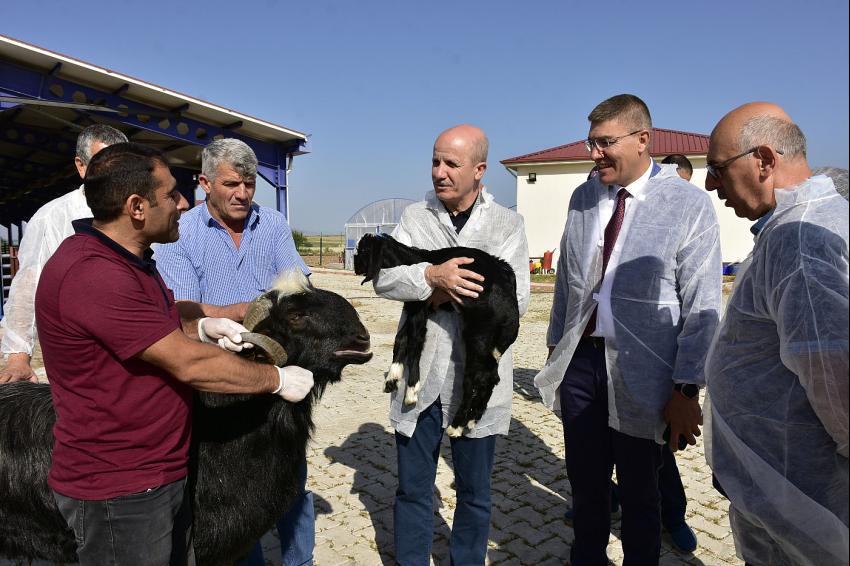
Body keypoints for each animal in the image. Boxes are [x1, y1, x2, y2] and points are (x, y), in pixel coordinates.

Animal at [352, 233, 516, 438]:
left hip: (478, 335)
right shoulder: (413, 307)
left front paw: (411, 391)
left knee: (475, 378)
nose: (354, 265)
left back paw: (456, 425)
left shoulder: (420, 308)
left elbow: (415, 344)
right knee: (492, 376)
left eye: (363, 250)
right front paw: (392, 378)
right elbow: (401, 339)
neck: (409, 260)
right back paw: (472, 420)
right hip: (493, 344)